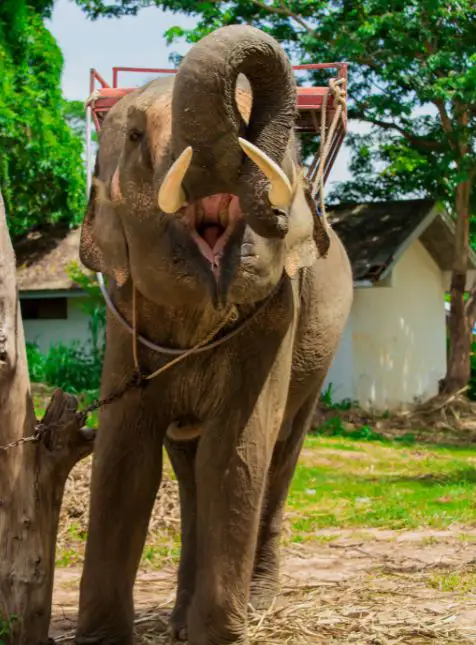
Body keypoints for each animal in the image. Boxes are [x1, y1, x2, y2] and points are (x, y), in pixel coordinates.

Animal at [75, 24, 353, 645]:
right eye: (134, 136)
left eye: (274, 144)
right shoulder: (125, 317)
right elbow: (125, 459)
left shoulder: (276, 316)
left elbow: (236, 455)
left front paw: (223, 632)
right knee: (188, 469)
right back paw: (180, 620)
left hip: (319, 360)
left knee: (278, 456)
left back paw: (257, 603)